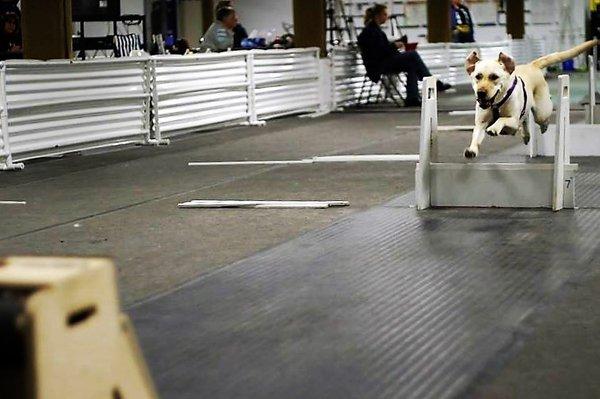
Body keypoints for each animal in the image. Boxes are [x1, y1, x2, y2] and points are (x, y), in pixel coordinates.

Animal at [462, 39, 596, 159]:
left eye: (494, 77)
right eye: (478, 76)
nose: (480, 93)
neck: (496, 103)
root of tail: (532, 65)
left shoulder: (514, 121)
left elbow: (501, 119)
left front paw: (494, 128)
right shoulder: (481, 122)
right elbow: (476, 135)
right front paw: (472, 150)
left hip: (541, 112)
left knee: (541, 118)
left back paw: (543, 126)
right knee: (526, 119)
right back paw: (526, 135)